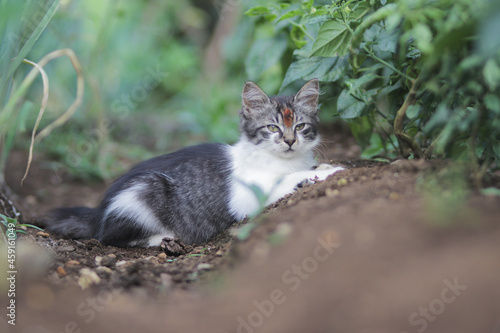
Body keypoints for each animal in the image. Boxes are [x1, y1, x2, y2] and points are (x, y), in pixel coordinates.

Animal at [44, 79, 344, 246]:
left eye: (301, 126)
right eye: (273, 128)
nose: (290, 141)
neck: (283, 159)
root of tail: (98, 211)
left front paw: (322, 168)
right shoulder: (248, 197)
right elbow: (286, 180)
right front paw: (333, 171)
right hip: (143, 191)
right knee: (108, 237)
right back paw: (162, 238)